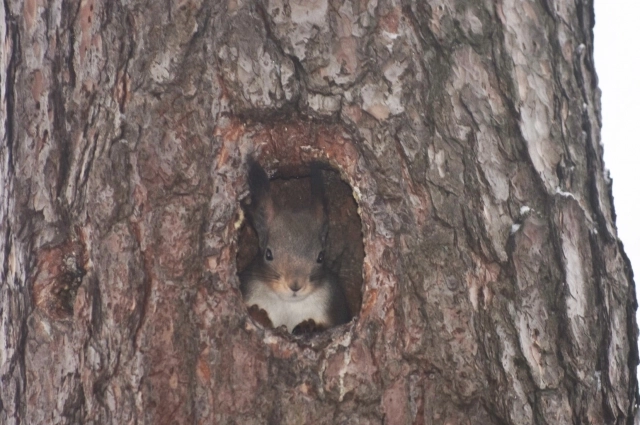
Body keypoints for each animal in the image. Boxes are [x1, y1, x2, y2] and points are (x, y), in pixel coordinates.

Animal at [239, 160, 352, 334]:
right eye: (268, 254)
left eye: (321, 257)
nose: (295, 285)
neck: (289, 304)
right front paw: (259, 315)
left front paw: (309, 326)